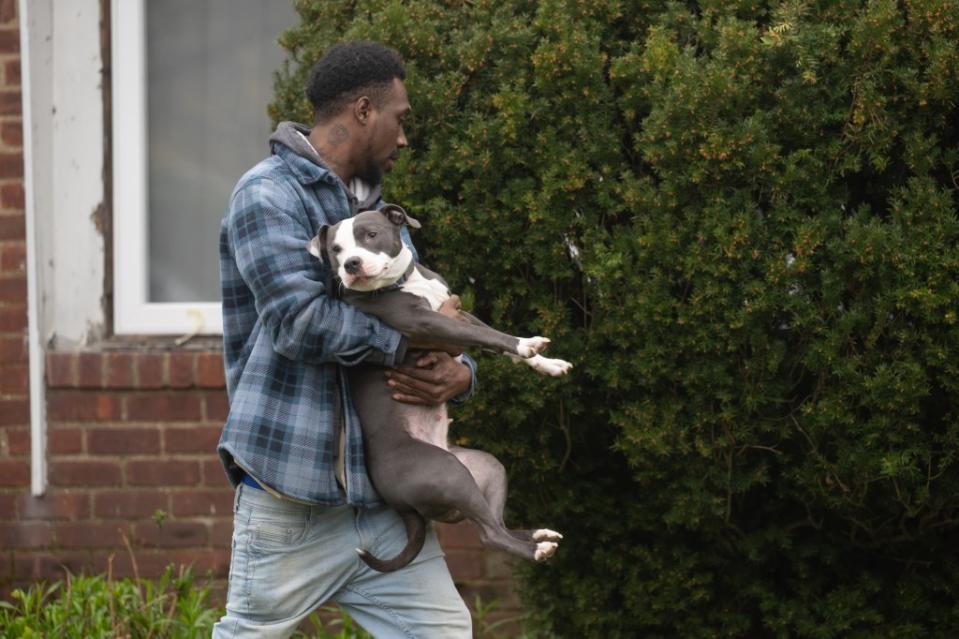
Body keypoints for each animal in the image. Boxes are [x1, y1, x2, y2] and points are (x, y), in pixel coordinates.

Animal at [310, 206, 568, 576]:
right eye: (336, 250)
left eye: (370, 235)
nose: (351, 265)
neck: (405, 282)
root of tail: (402, 506)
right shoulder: (429, 324)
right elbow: (491, 337)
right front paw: (525, 342)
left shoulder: (459, 313)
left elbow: (491, 334)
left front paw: (549, 363)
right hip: (449, 474)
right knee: (491, 534)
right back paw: (537, 550)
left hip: (486, 469)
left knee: (497, 523)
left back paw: (538, 535)